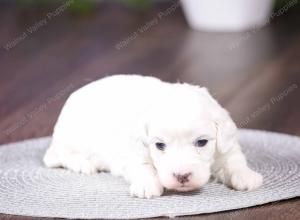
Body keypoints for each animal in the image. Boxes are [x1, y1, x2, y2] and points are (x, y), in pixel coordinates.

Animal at [44, 75, 262, 199]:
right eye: (159, 145)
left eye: (202, 142)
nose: (182, 176)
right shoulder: (133, 151)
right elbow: (143, 167)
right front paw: (147, 185)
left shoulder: (226, 146)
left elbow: (234, 161)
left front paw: (246, 176)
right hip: (71, 138)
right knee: (61, 156)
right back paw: (84, 164)